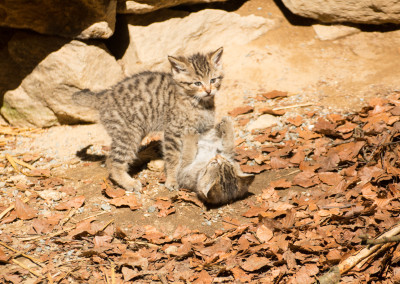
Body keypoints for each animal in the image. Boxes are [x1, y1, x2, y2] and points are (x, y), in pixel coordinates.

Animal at [73, 47, 223, 192]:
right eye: (197, 83)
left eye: (213, 80)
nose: (208, 91)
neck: (198, 103)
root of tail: (104, 95)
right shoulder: (173, 132)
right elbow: (173, 158)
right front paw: (172, 180)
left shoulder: (205, 130)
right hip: (128, 135)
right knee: (114, 161)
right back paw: (129, 183)